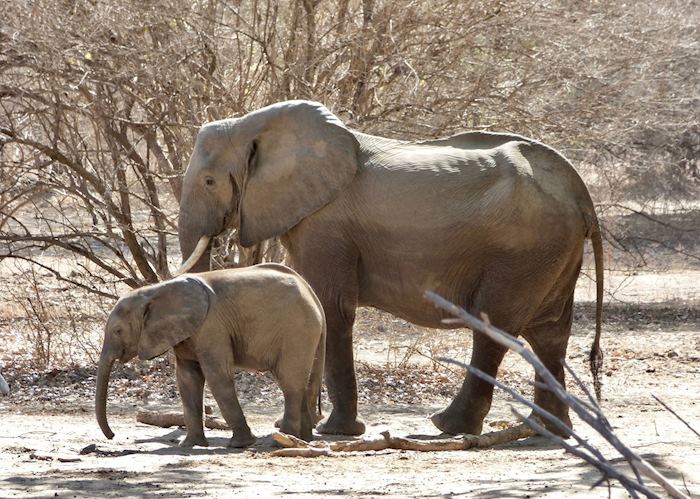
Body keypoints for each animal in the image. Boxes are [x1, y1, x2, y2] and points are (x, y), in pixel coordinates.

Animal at [95, 263, 326, 447]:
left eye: (118, 331)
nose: (112, 435)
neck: (154, 290)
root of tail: (313, 295)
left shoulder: (211, 326)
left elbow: (217, 375)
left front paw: (241, 444)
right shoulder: (185, 332)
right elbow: (187, 378)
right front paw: (190, 445)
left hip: (297, 328)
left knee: (289, 382)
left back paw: (281, 440)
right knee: (299, 382)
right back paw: (302, 440)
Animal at [177, 100, 604, 437]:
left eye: (210, 181)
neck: (255, 124)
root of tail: (580, 192)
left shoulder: (325, 225)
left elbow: (331, 309)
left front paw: (333, 431)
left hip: (523, 251)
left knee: (493, 328)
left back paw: (449, 426)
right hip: (552, 251)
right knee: (550, 334)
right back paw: (552, 431)